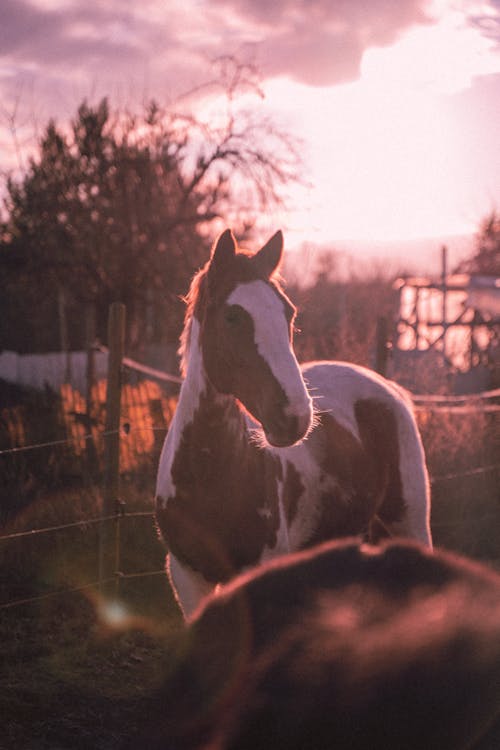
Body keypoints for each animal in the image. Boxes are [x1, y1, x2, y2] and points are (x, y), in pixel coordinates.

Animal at [154, 232, 432, 620]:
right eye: (232, 317)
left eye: (289, 312)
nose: (295, 416)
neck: (207, 474)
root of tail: (387, 388)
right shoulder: (187, 578)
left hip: (409, 522)